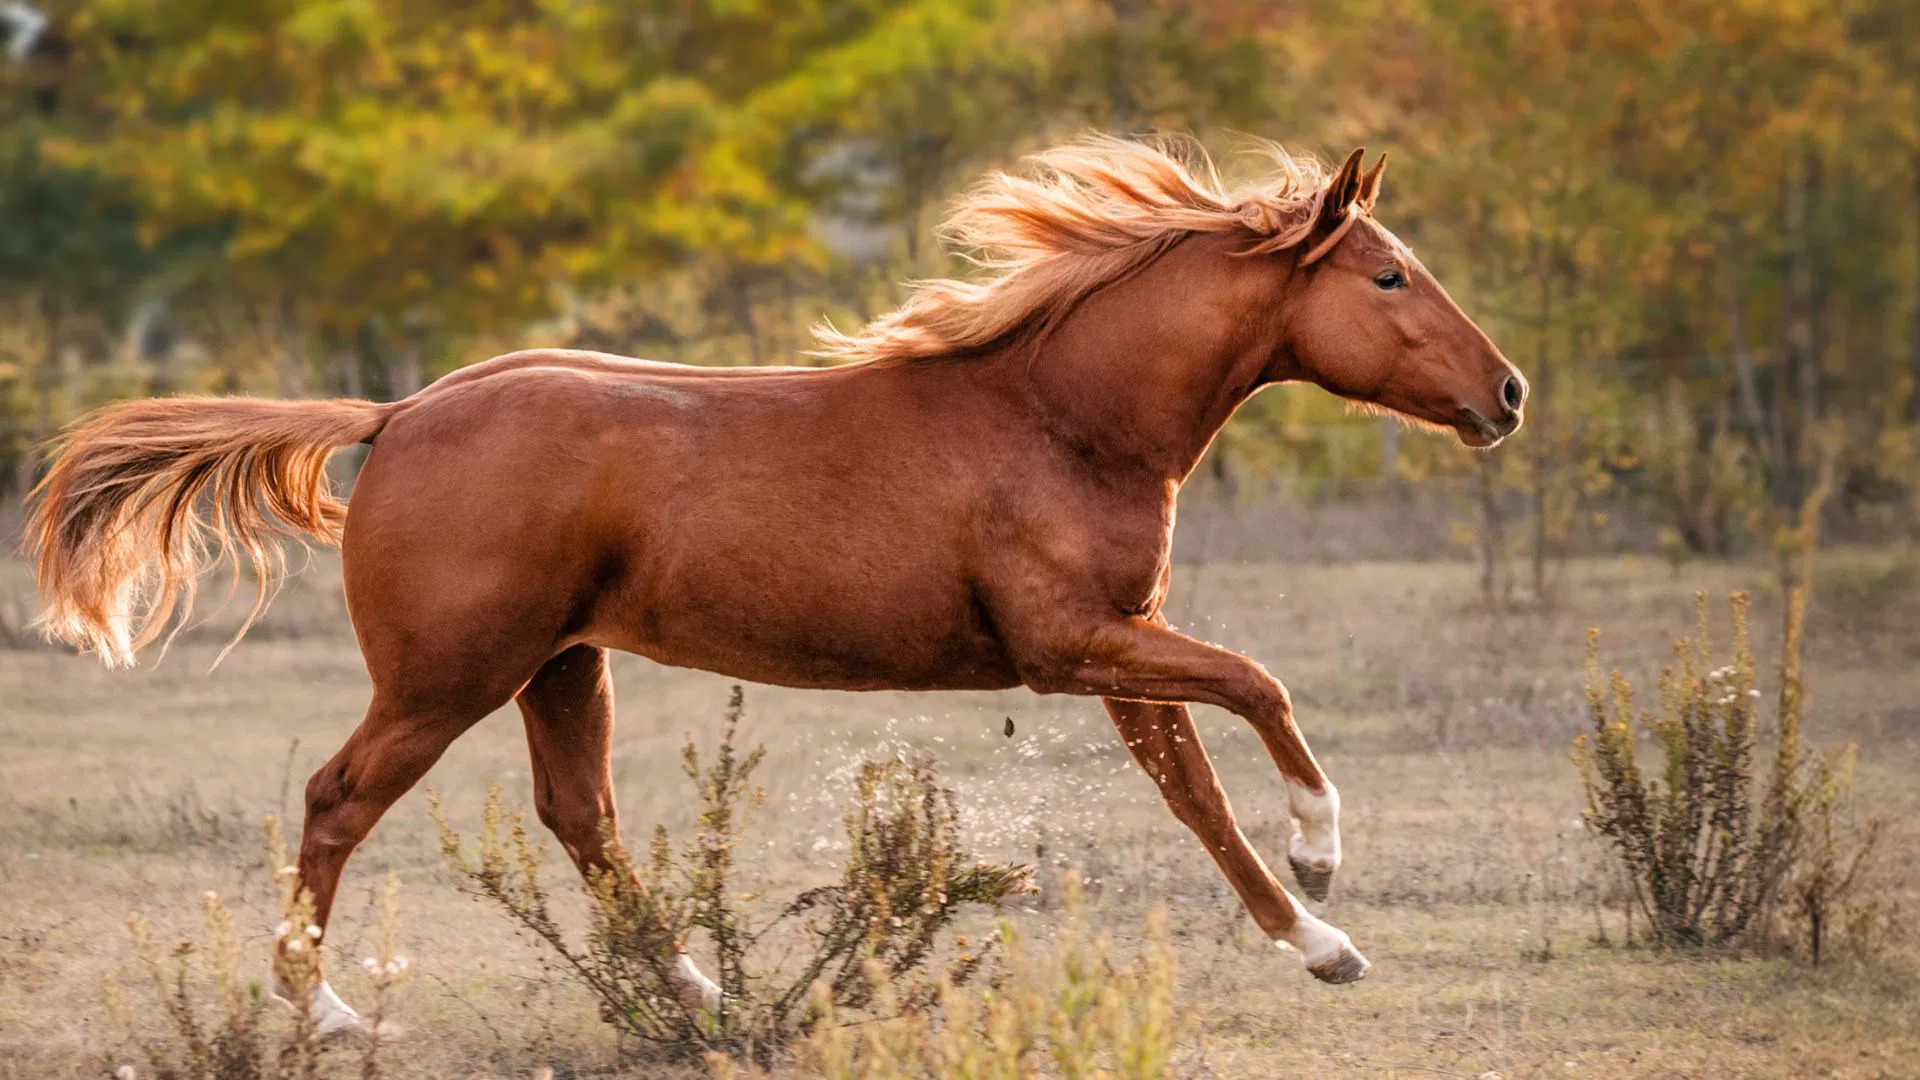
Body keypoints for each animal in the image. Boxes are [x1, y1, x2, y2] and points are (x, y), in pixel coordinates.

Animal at [26, 136, 1524, 1034]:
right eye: (1390, 276)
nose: (1506, 393)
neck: (1059, 416)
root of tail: (395, 416)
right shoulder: (1076, 644)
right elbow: (1259, 691)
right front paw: (1324, 855)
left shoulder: (1116, 645)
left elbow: (1198, 797)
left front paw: (1319, 942)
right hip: (448, 677)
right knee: (341, 800)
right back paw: (327, 1010)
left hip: (563, 667)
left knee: (582, 817)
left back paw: (697, 989)